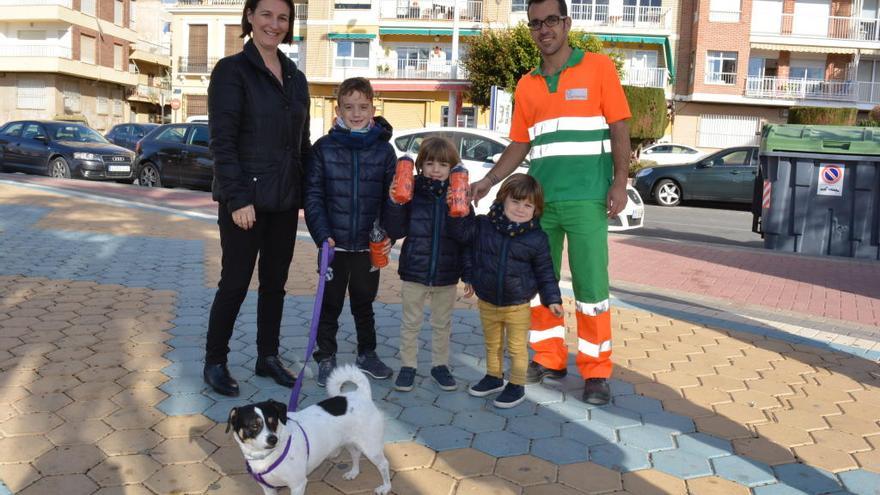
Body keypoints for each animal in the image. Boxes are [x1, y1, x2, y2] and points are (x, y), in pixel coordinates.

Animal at [227, 364, 392, 495]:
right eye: (254, 426)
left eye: (273, 422)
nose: (273, 439)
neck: (265, 457)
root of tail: (361, 394)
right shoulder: (269, 489)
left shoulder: (298, 485)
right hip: (350, 441)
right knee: (356, 454)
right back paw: (353, 473)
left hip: (371, 447)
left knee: (384, 465)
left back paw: (385, 487)